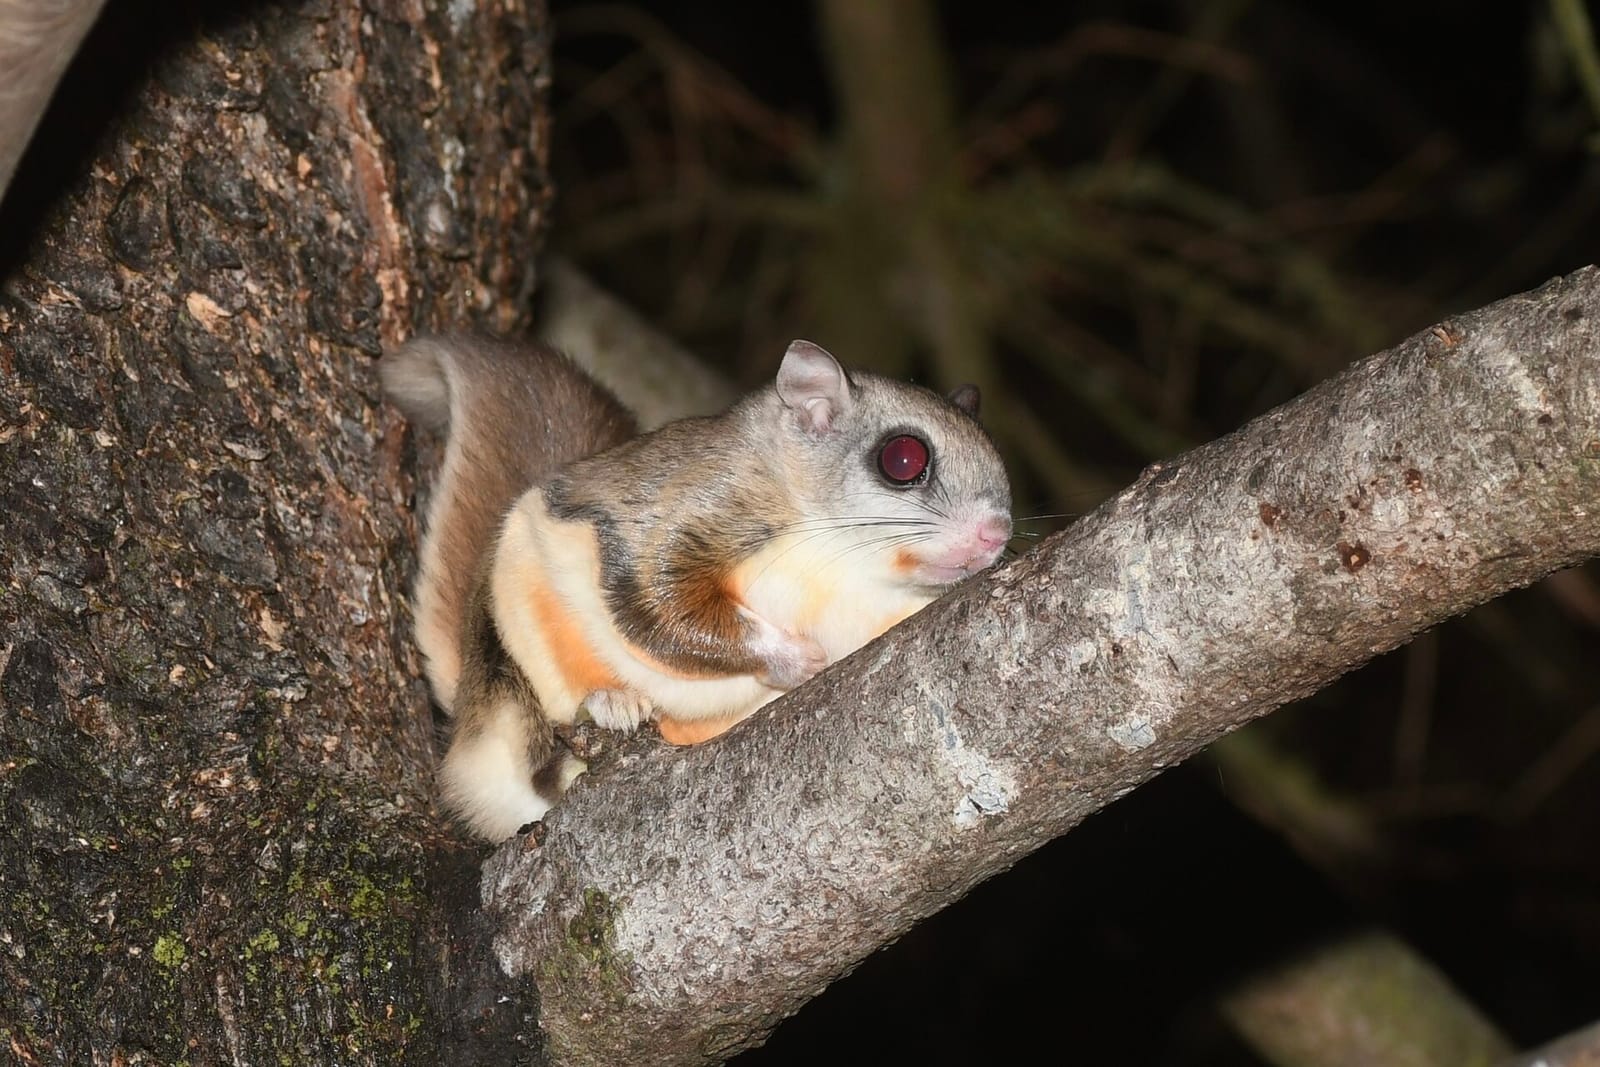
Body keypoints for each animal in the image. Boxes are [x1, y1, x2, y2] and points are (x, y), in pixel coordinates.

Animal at [381, 336, 1012, 840]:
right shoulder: (683, 511)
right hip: (521, 639)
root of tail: (467, 711)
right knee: (534, 754)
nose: (997, 535)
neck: (853, 564)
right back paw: (608, 708)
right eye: (903, 458)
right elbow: (663, 608)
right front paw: (795, 659)